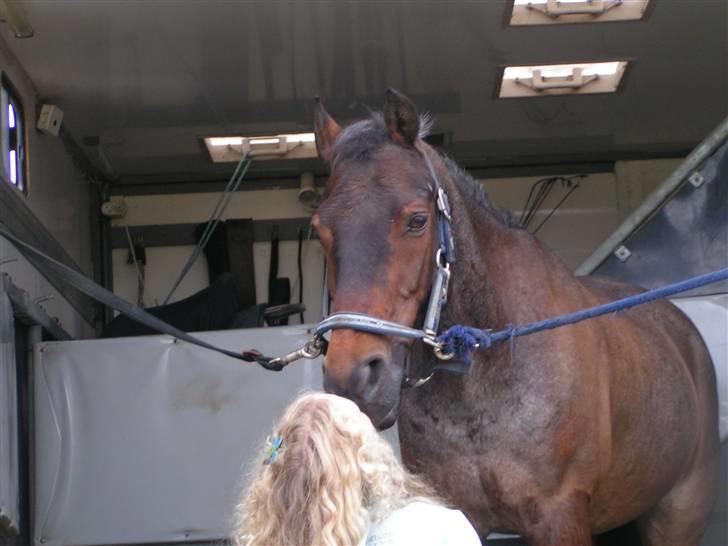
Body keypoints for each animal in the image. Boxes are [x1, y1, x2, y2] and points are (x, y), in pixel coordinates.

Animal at [310, 89, 720, 544]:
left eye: (417, 221)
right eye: (320, 230)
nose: (353, 378)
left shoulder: (559, 514)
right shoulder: (461, 513)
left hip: (678, 514)